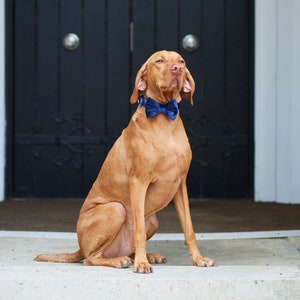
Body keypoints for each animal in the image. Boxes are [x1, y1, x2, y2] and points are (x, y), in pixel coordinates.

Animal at [35, 50, 216, 274]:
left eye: (181, 61)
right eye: (159, 61)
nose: (178, 69)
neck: (164, 114)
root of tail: (80, 247)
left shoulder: (180, 185)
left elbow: (189, 229)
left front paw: (198, 259)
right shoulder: (138, 183)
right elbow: (138, 231)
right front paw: (141, 264)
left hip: (152, 220)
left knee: (121, 249)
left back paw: (146, 255)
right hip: (115, 210)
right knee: (90, 258)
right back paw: (122, 260)